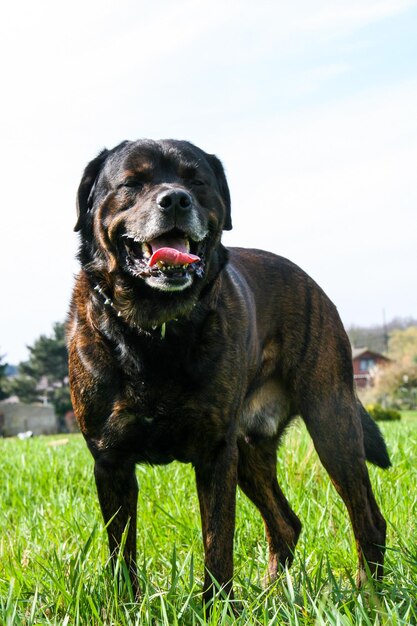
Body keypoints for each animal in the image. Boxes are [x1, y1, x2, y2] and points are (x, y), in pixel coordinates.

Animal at [66, 138, 390, 600]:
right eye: (131, 182)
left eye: (196, 180)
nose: (175, 199)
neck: (155, 330)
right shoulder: (111, 462)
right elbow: (121, 555)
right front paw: (124, 605)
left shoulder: (216, 453)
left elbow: (217, 545)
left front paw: (218, 606)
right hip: (251, 451)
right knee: (286, 524)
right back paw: (273, 594)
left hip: (331, 422)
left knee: (367, 518)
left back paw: (369, 594)